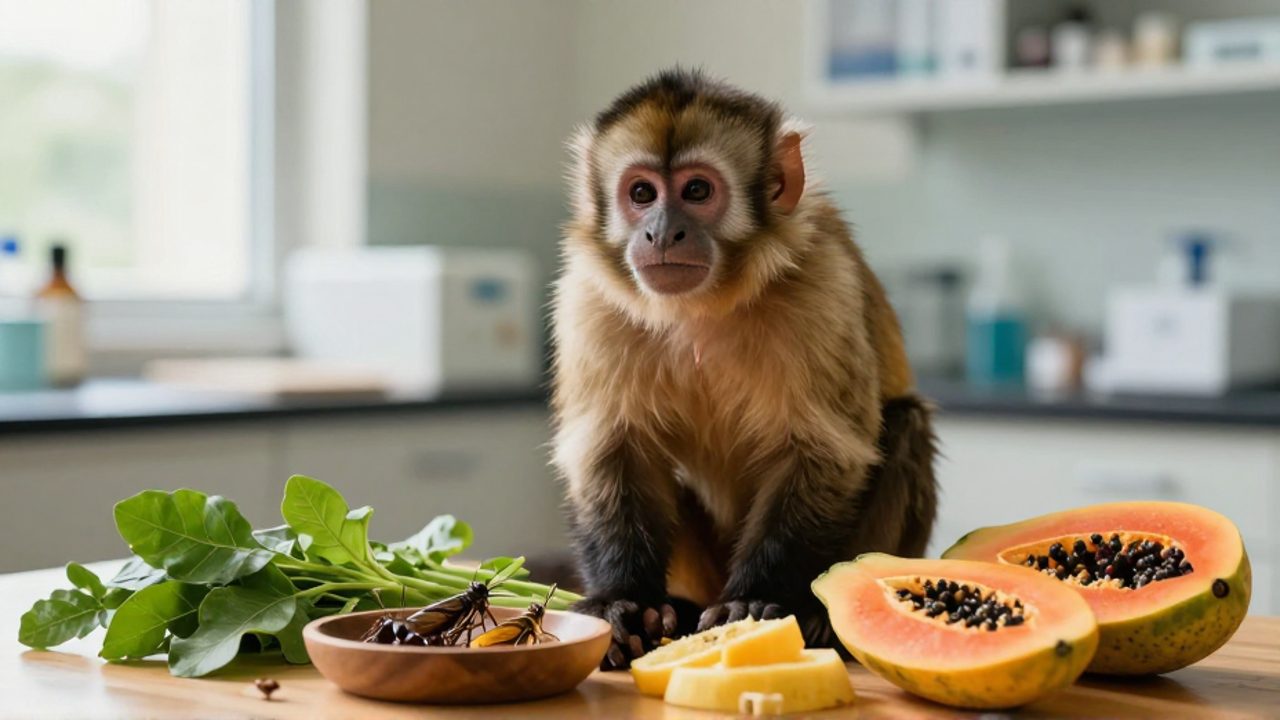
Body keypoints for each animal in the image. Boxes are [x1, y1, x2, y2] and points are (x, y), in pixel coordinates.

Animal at [551, 69, 937, 670]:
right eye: (641, 194)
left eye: (696, 191)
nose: (661, 232)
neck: (706, 306)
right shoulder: (590, 297)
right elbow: (613, 449)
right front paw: (623, 602)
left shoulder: (821, 282)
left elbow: (825, 453)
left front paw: (756, 599)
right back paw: (679, 609)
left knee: (907, 423)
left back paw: (822, 617)